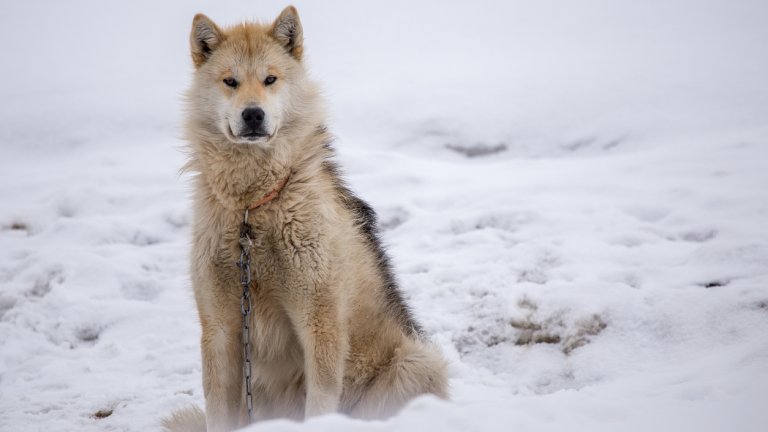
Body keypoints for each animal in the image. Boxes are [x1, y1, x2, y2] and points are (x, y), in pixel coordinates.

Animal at [164, 5, 450, 432]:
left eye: (270, 79)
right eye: (230, 81)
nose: (253, 114)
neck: (253, 211)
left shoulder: (320, 322)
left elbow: (320, 403)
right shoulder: (220, 327)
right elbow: (218, 411)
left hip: (416, 363)